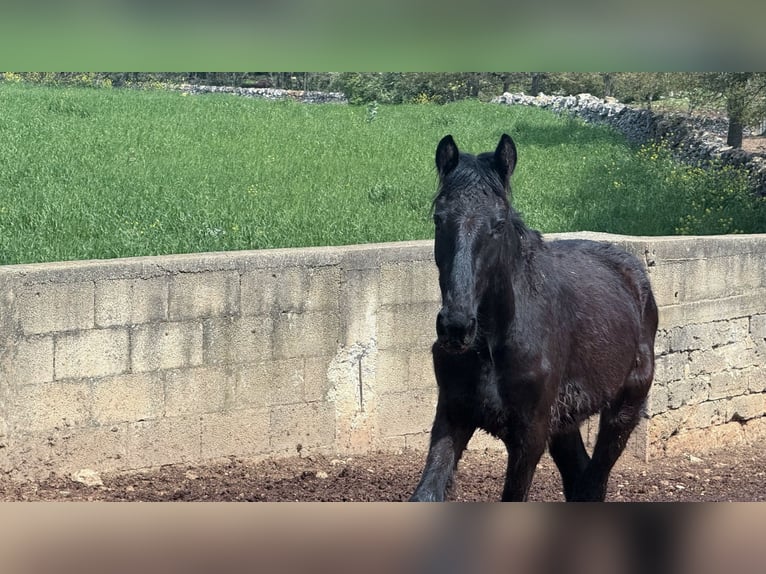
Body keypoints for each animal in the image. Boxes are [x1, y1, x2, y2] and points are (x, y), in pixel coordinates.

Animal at [410, 134, 658, 501]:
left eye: (499, 223)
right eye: (439, 218)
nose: (456, 327)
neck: (492, 345)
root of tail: (634, 274)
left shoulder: (530, 436)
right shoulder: (453, 415)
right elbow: (427, 492)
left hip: (624, 407)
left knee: (593, 481)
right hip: (566, 421)